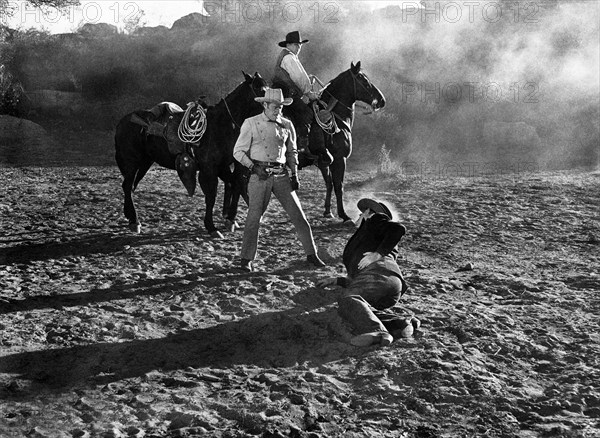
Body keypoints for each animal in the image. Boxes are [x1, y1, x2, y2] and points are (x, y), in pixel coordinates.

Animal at [116, 72, 266, 236]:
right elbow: (212, 195)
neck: (220, 126)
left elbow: (234, 184)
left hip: (144, 161)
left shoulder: (223, 166)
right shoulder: (209, 169)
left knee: (129, 186)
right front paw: (212, 227)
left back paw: (130, 217)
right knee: (127, 186)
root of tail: (123, 122)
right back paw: (134, 221)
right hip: (131, 162)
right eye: (260, 89)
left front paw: (230, 219)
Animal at [294, 60, 384, 222]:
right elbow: (338, 185)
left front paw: (328, 211)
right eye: (364, 80)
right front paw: (343, 214)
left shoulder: (324, 162)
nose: (381, 100)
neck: (336, 117)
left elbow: (329, 183)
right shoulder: (339, 158)